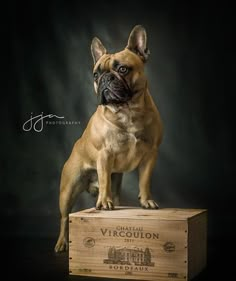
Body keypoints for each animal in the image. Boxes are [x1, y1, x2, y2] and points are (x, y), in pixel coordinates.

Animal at [54, 24, 163, 252]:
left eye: (122, 69)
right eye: (96, 74)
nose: (105, 78)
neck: (127, 110)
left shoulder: (151, 154)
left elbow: (145, 180)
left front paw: (146, 201)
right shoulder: (105, 154)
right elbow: (104, 178)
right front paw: (104, 203)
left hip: (116, 183)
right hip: (68, 190)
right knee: (64, 218)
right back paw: (61, 243)